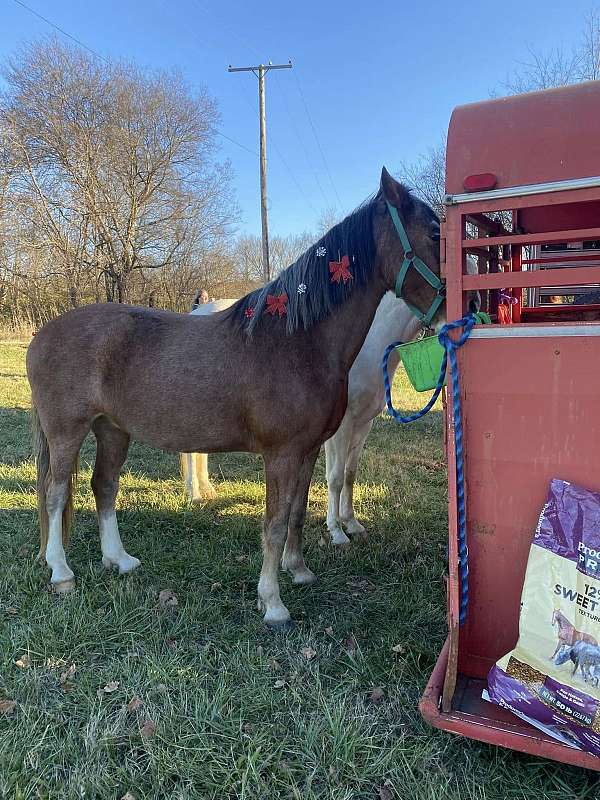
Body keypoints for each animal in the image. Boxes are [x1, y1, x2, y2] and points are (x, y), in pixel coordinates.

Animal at [27, 167, 440, 632]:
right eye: (434, 232)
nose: (471, 300)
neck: (297, 341)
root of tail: (42, 334)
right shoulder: (281, 454)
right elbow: (274, 523)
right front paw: (272, 602)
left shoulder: (308, 450)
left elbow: (298, 512)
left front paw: (299, 570)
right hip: (67, 431)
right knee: (56, 492)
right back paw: (61, 572)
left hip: (113, 430)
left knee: (104, 485)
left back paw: (120, 560)